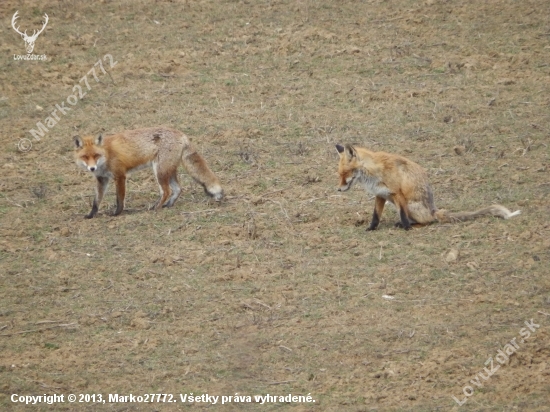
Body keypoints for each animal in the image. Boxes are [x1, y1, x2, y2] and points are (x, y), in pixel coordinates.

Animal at [75, 127, 224, 219]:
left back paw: (156, 207)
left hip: (159, 171)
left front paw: (117, 213)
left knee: (166, 191)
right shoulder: (102, 179)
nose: (92, 168)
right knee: (178, 189)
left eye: (96, 155)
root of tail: (180, 133)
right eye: (85, 157)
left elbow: (119, 198)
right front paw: (91, 215)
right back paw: (168, 205)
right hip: (168, 171)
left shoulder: (120, 175)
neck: (107, 154)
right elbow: (96, 201)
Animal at [336, 143, 520, 230]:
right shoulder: (381, 195)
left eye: (345, 174)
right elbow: (375, 216)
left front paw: (407, 229)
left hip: (410, 205)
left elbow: (403, 216)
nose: (338, 189)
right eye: (339, 174)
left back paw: (411, 225)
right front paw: (371, 228)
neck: (372, 172)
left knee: (427, 221)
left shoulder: (397, 193)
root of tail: (434, 209)